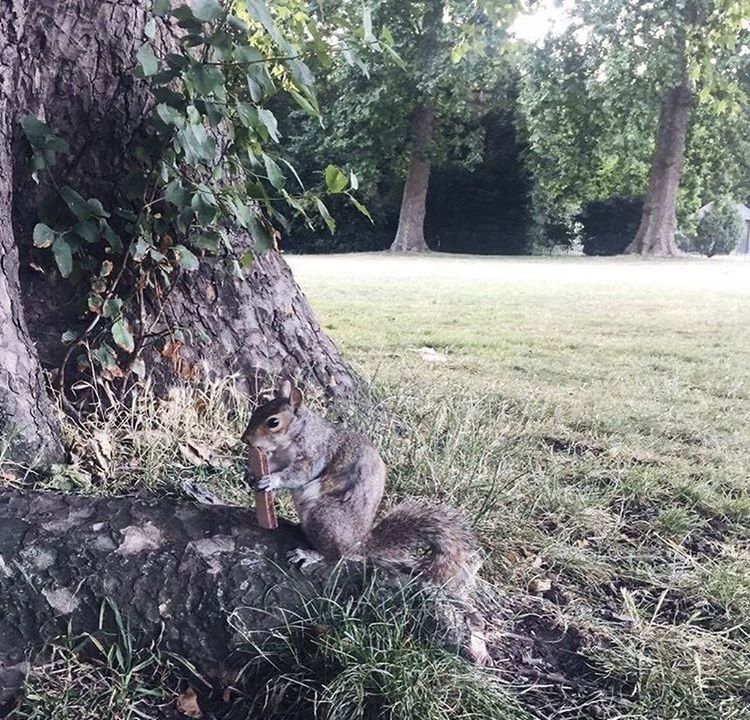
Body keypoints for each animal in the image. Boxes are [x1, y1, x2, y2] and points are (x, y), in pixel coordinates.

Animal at [242, 380, 482, 592]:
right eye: (258, 409)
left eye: (273, 422)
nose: (245, 439)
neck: (293, 438)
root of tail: (358, 544)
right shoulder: (278, 457)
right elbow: (274, 465)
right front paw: (251, 474)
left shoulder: (316, 454)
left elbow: (299, 474)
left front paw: (272, 480)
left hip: (325, 517)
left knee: (336, 555)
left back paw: (310, 554)